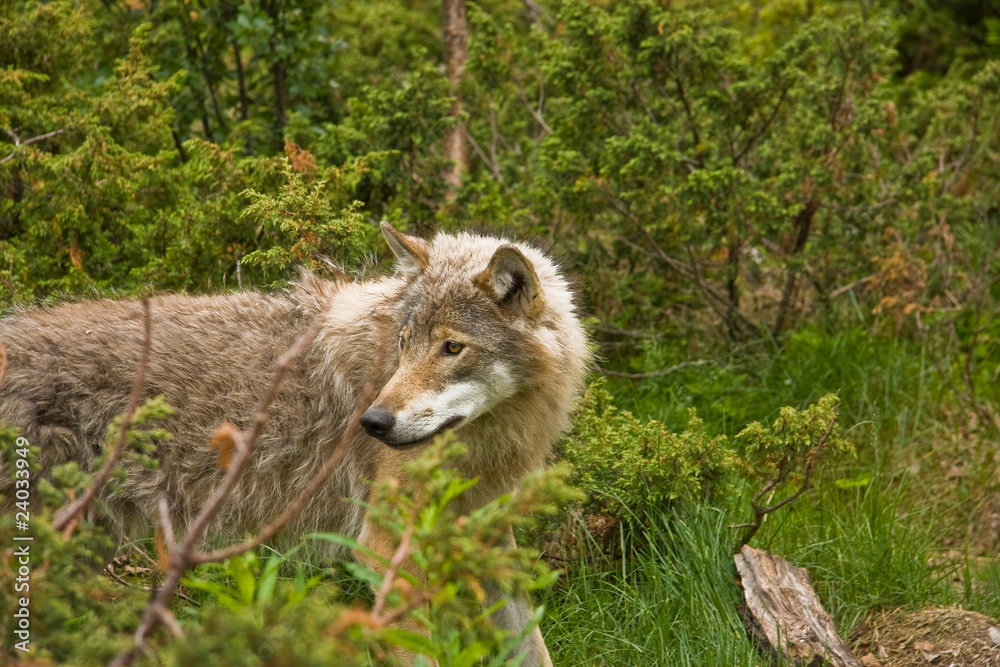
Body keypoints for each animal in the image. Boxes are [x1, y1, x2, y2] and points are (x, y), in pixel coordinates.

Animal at [0, 222, 589, 666]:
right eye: (404, 345)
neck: (492, 440)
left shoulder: (487, 540)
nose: (372, 422)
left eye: (452, 348)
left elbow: (533, 650)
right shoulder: (383, 551)